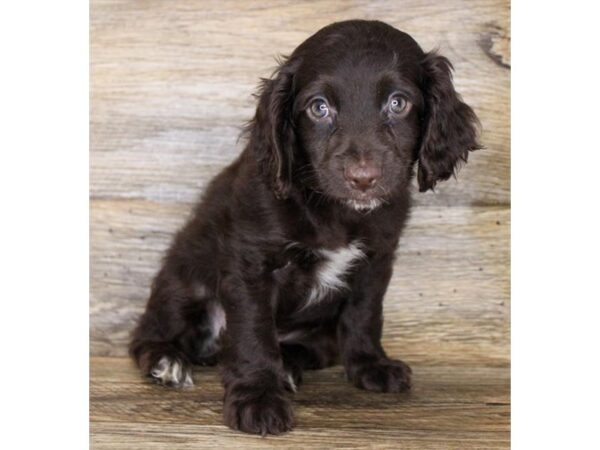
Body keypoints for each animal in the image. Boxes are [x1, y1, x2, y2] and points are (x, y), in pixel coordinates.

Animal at [129, 20, 480, 436]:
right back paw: (166, 362)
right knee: (147, 333)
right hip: (185, 280)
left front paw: (370, 364)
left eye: (398, 103)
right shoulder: (252, 263)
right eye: (319, 108)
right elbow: (254, 332)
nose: (363, 179)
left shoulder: (377, 257)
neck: (337, 212)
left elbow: (364, 313)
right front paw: (258, 398)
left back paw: (290, 366)